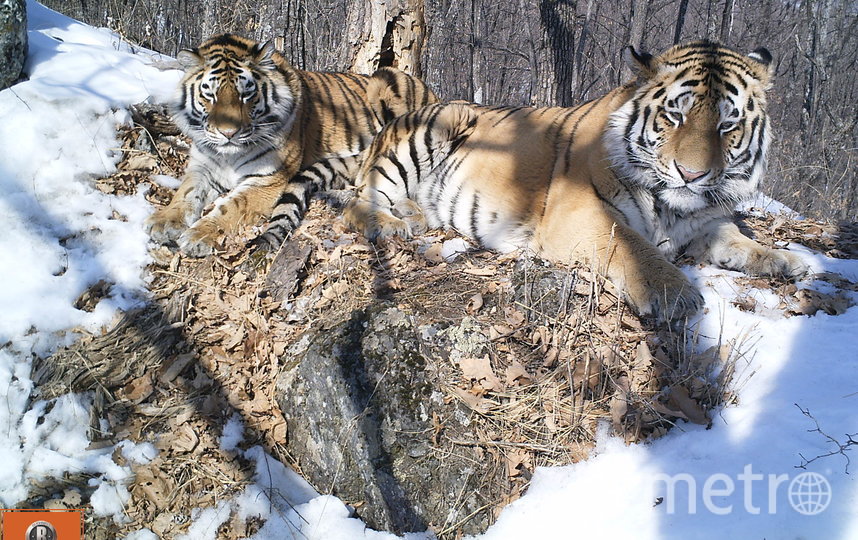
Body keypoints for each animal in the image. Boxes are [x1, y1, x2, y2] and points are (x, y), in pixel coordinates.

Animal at [145, 33, 434, 258]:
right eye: (210, 94)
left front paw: (199, 235)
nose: (228, 133)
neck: (227, 154)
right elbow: (185, 193)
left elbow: (230, 207)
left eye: (246, 94)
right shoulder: (201, 167)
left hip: (385, 81)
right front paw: (163, 221)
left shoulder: (267, 180)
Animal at [332, 42, 804, 322]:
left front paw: (787, 261)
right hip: (436, 127)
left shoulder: (707, 223)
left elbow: (741, 242)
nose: (692, 174)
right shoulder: (580, 213)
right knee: (355, 199)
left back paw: (412, 214)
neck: (672, 206)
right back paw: (390, 223)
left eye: (727, 125)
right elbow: (633, 246)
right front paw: (674, 292)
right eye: (675, 116)